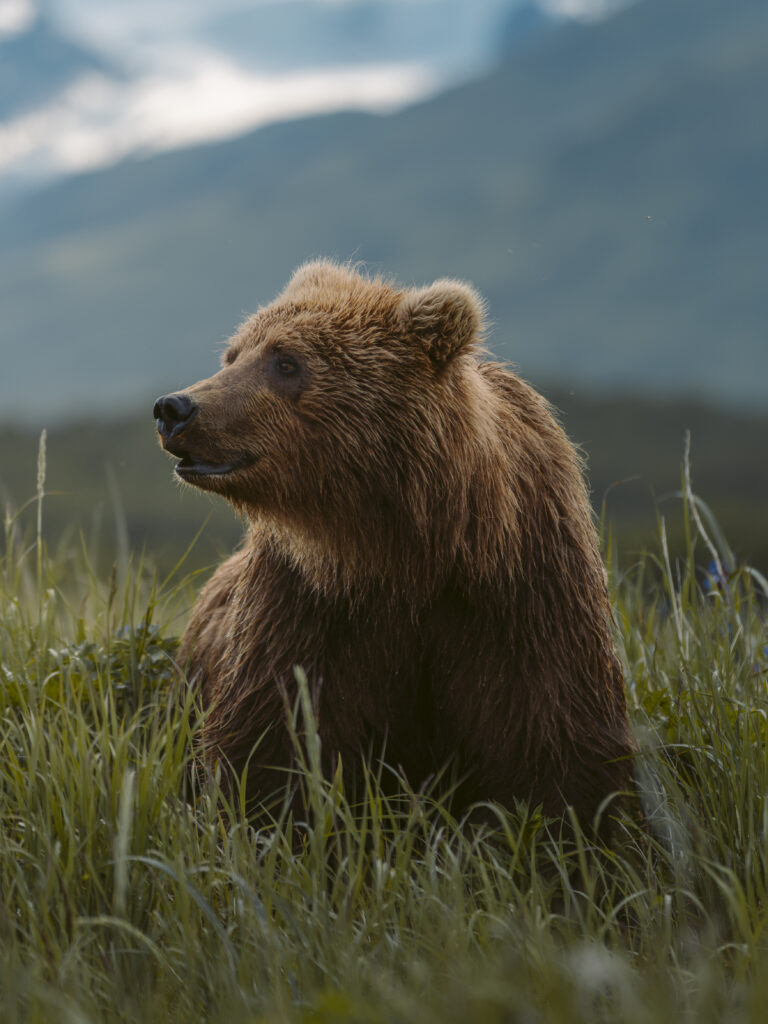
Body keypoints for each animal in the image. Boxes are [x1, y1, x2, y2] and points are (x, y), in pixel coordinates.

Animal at [154, 260, 635, 825]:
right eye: (233, 354)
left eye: (286, 361)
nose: (176, 408)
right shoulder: (306, 605)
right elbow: (274, 741)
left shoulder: (522, 592)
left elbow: (558, 742)